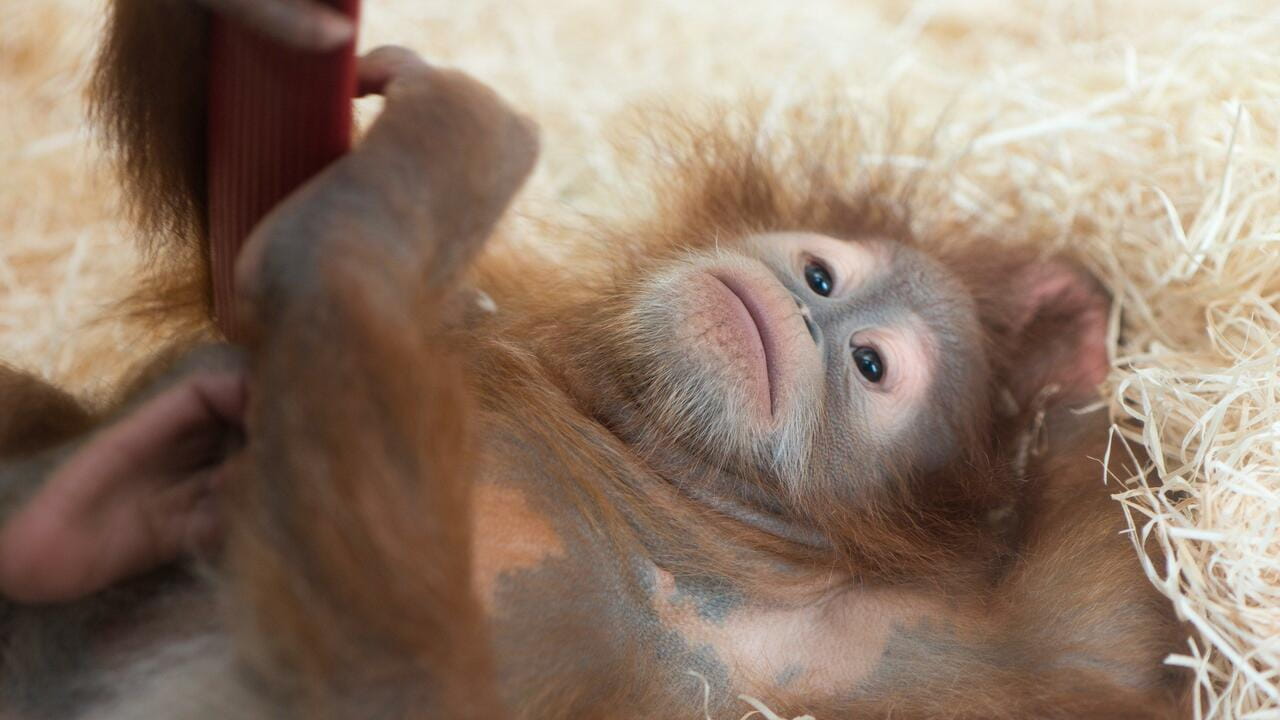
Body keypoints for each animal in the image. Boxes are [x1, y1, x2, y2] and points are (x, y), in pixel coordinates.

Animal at [0, 2, 1190, 718]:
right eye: (821, 277)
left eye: (867, 367)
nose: (805, 312)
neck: (679, 474)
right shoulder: (501, 307)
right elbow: (232, 246)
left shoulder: (935, 661)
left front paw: (413, 174)